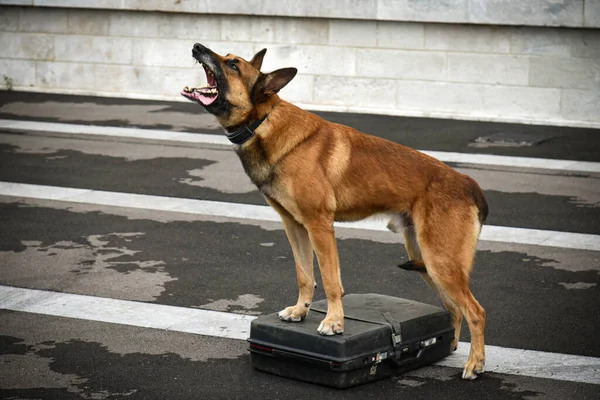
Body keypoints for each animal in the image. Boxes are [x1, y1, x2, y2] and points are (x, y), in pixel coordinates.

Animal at [182, 43, 488, 382]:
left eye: (233, 64)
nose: (197, 46)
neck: (263, 121)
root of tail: (470, 184)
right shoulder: (295, 227)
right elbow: (305, 275)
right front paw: (301, 310)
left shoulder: (319, 226)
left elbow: (330, 281)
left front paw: (333, 323)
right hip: (428, 262)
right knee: (455, 309)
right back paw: (448, 350)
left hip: (439, 262)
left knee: (476, 311)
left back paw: (475, 363)